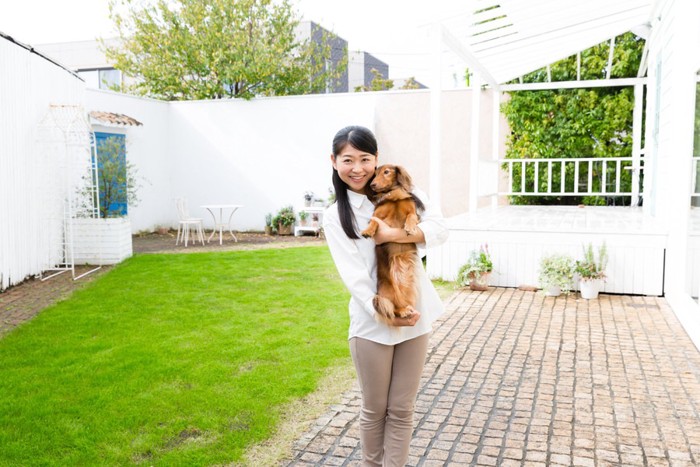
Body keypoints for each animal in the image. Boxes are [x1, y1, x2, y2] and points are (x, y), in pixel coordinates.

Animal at [358, 166, 424, 328]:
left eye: (387, 172)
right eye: (374, 174)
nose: (372, 185)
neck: (394, 197)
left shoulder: (412, 211)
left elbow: (411, 216)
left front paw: (410, 227)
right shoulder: (378, 215)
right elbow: (374, 222)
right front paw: (368, 231)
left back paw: (406, 309)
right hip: (387, 293)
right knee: (393, 309)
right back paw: (403, 312)